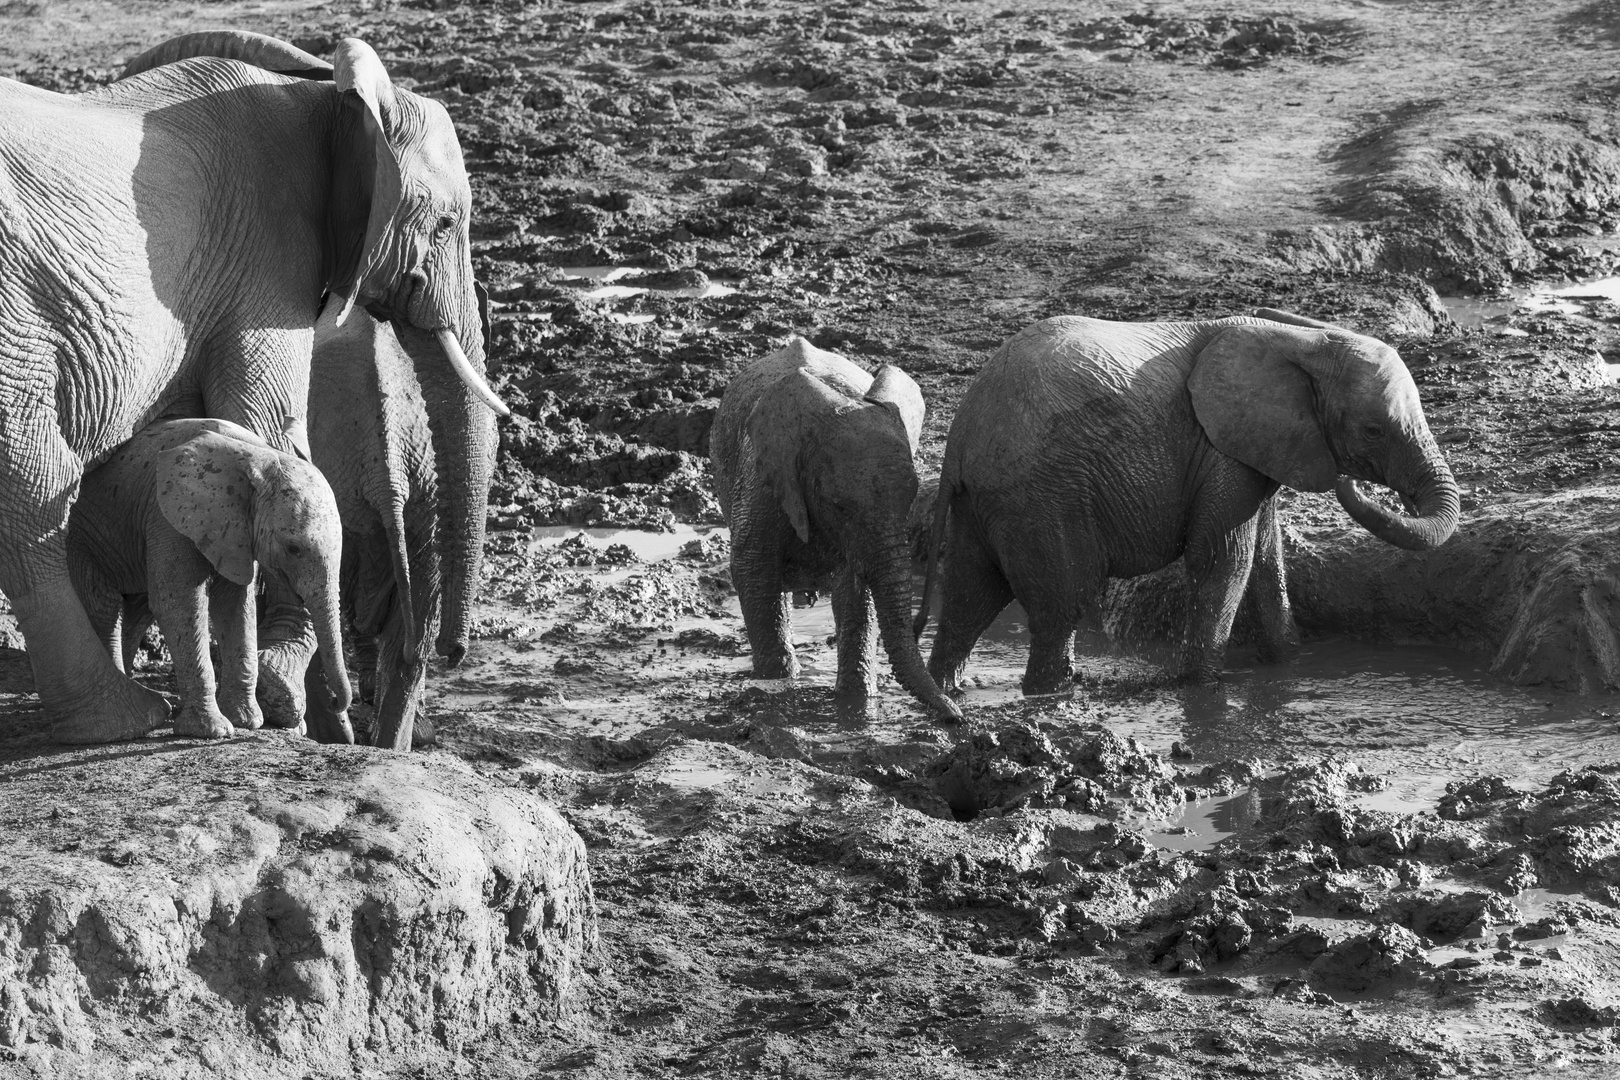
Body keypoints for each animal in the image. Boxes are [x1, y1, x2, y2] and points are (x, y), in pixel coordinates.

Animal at [68, 420, 353, 744]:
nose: (335, 702)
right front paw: (212, 730)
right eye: (294, 548)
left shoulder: (237, 530)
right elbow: (177, 602)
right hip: (83, 535)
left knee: (136, 609)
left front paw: (247, 721)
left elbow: (236, 605)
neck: (261, 456)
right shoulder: (167, 514)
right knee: (104, 605)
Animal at [709, 338, 959, 722]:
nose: (957, 717)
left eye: (912, 497)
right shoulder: (763, 483)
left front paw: (856, 703)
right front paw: (778, 687)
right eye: (838, 505)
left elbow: (854, 591)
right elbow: (753, 572)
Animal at [920, 307, 1464, 696]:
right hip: (1041, 495)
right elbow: (1225, 560)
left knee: (970, 596)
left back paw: (948, 692)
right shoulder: (1220, 450)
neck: (1296, 340)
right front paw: (1203, 688)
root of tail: (959, 438)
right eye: (1373, 430)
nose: (1351, 483)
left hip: (988, 500)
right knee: (1060, 607)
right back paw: (1050, 695)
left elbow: (1266, 559)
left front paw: (1289, 668)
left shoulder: (1258, 449)